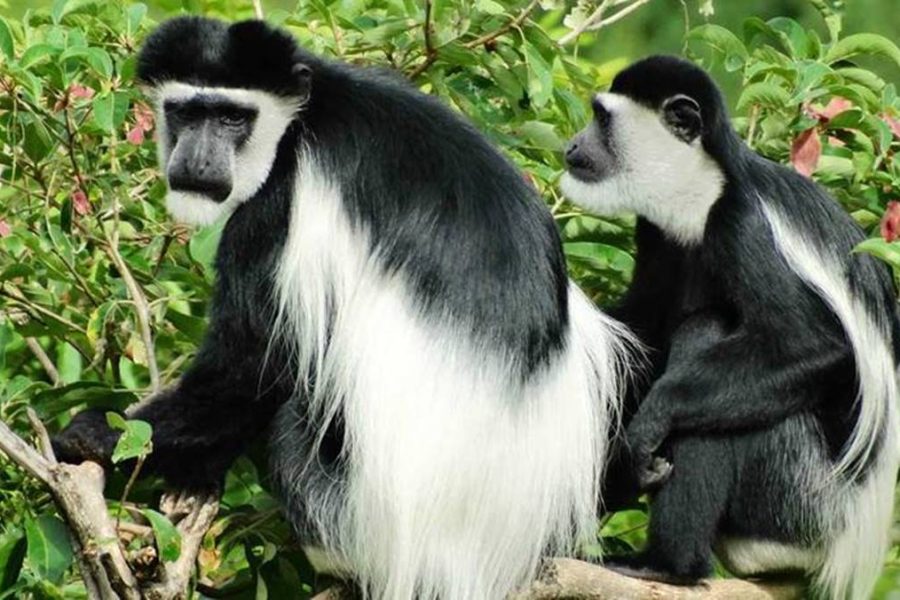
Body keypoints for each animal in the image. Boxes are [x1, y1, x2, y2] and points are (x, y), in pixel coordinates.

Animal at [52, 16, 635, 600]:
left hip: (360, 513)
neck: (304, 117)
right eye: (187, 113)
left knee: (293, 420)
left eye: (233, 117)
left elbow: (252, 364)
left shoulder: (278, 205)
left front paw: (98, 436)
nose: (197, 161)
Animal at [561, 55, 900, 599]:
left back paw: (667, 565)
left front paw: (652, 422)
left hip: (796, 498)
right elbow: (642, 332)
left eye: (601, 118)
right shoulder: (659, 231)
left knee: (711, 345)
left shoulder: (742, 226)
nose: (572, 146)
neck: (702, 192)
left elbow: (811, 347)